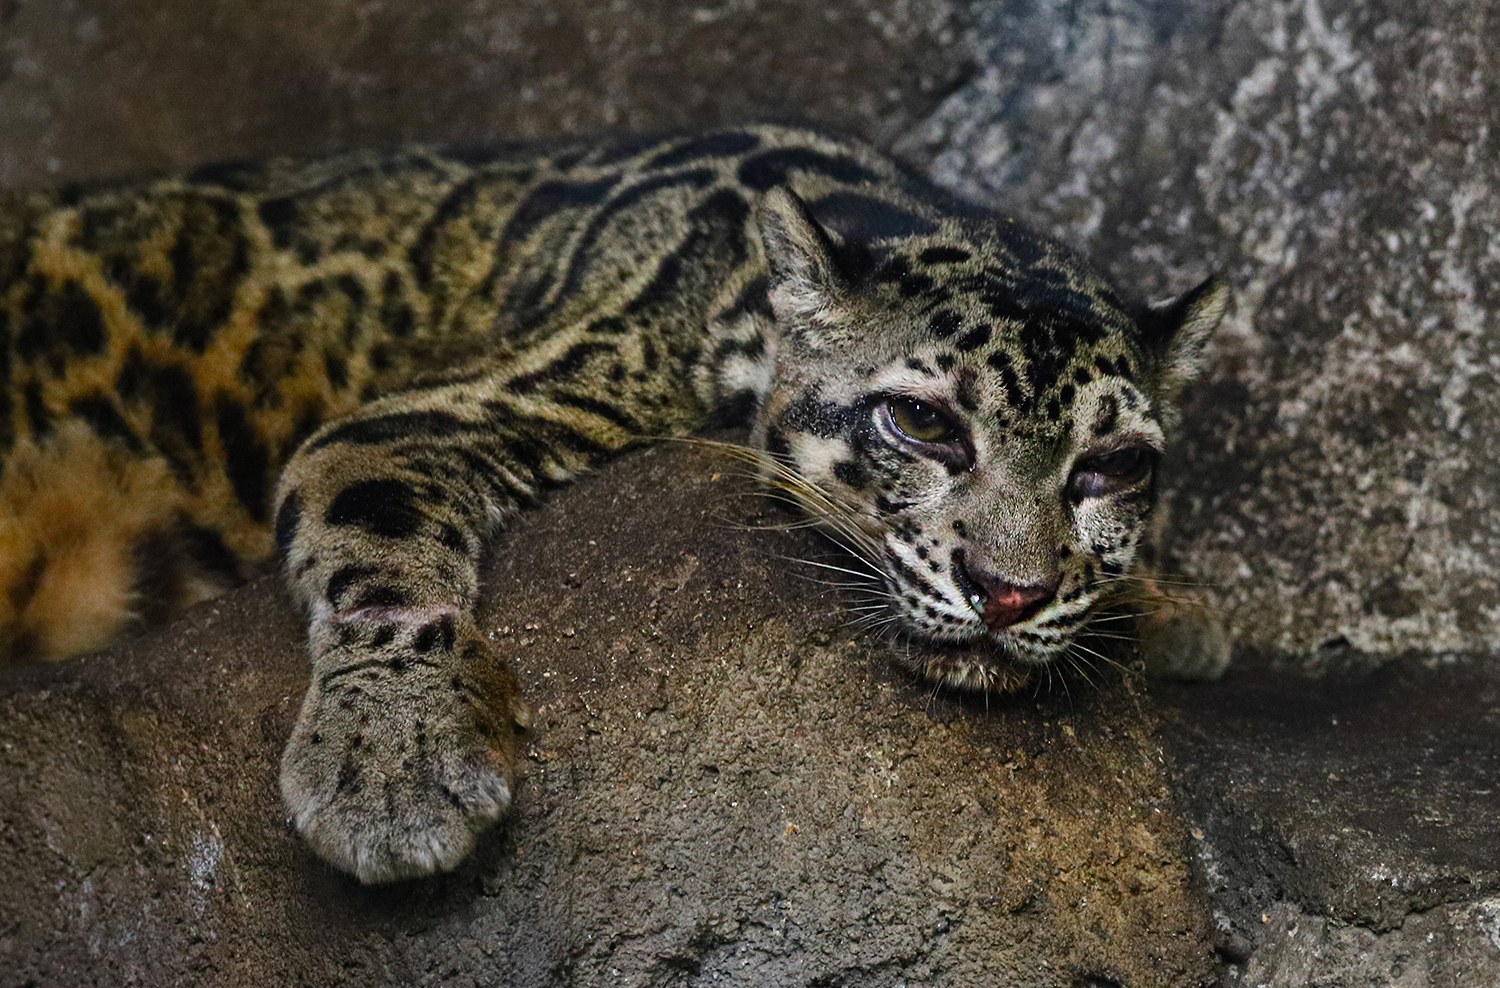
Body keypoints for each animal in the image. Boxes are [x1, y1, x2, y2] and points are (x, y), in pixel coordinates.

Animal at [0, 124, 1229, 883]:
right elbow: (381, 561)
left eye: (1114, 465)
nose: (1010, 592)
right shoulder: (432, 410)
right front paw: (392, 766)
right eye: (922, 423)